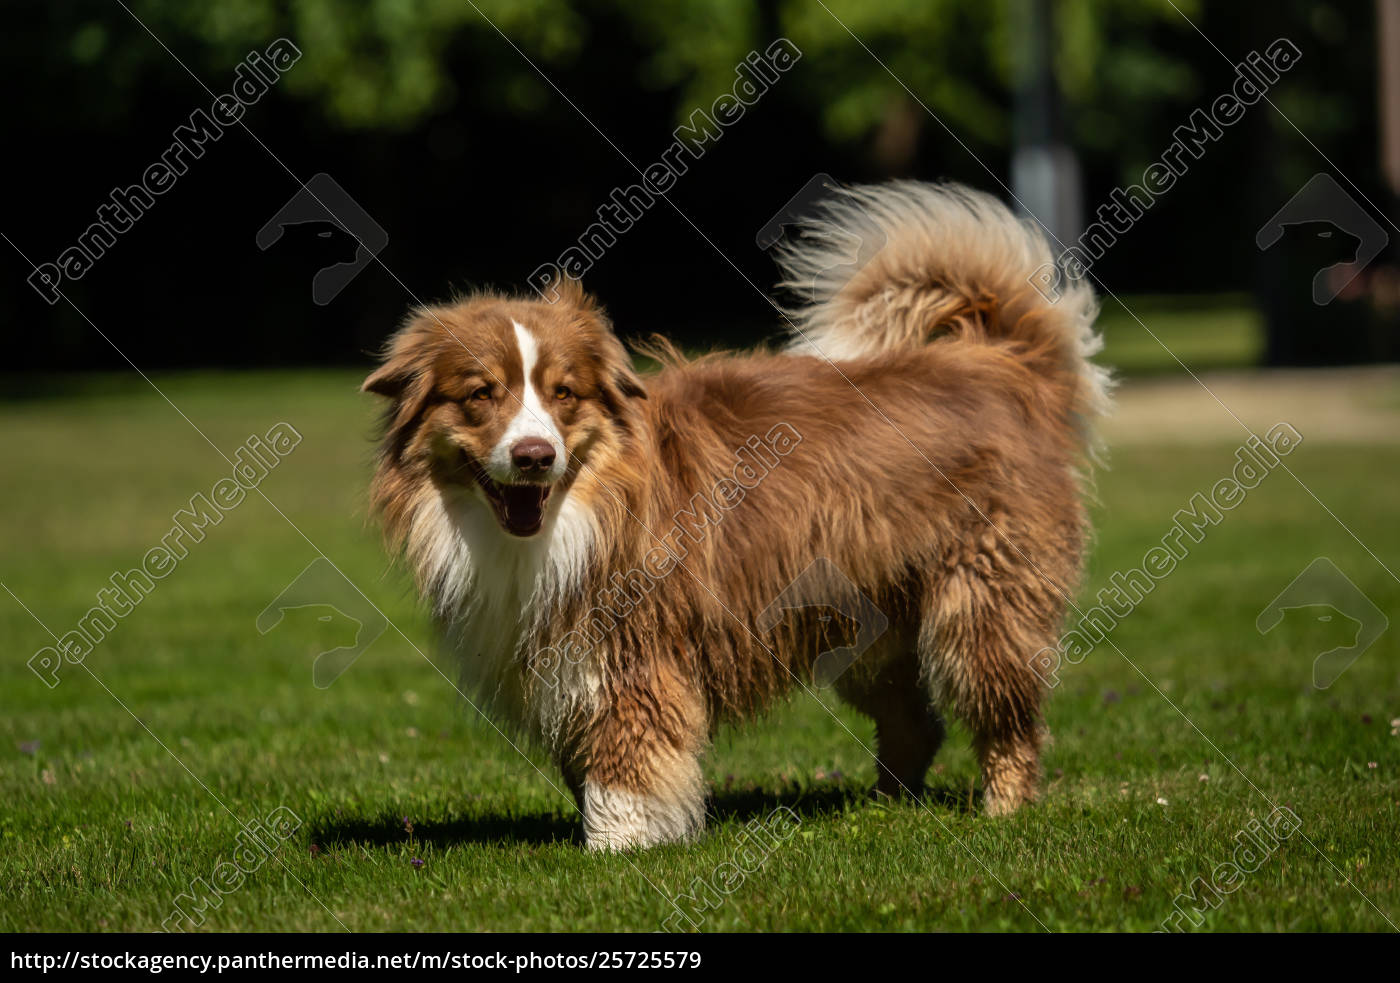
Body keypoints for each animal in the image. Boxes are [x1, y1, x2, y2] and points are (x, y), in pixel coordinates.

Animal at [364, 183, 1114, 856]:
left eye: (563, 393)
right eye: (480, 394)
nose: (533, 454)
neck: (572, 512)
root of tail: (1000, 366)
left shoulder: (635, 648)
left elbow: (626, 759)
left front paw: (618, 848)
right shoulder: (558, 655)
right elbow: (584, 756)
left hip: (979, 604)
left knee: (1007, 714)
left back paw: (1003, 808)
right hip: (868, 625)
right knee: (914, 723)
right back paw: (884, 807)